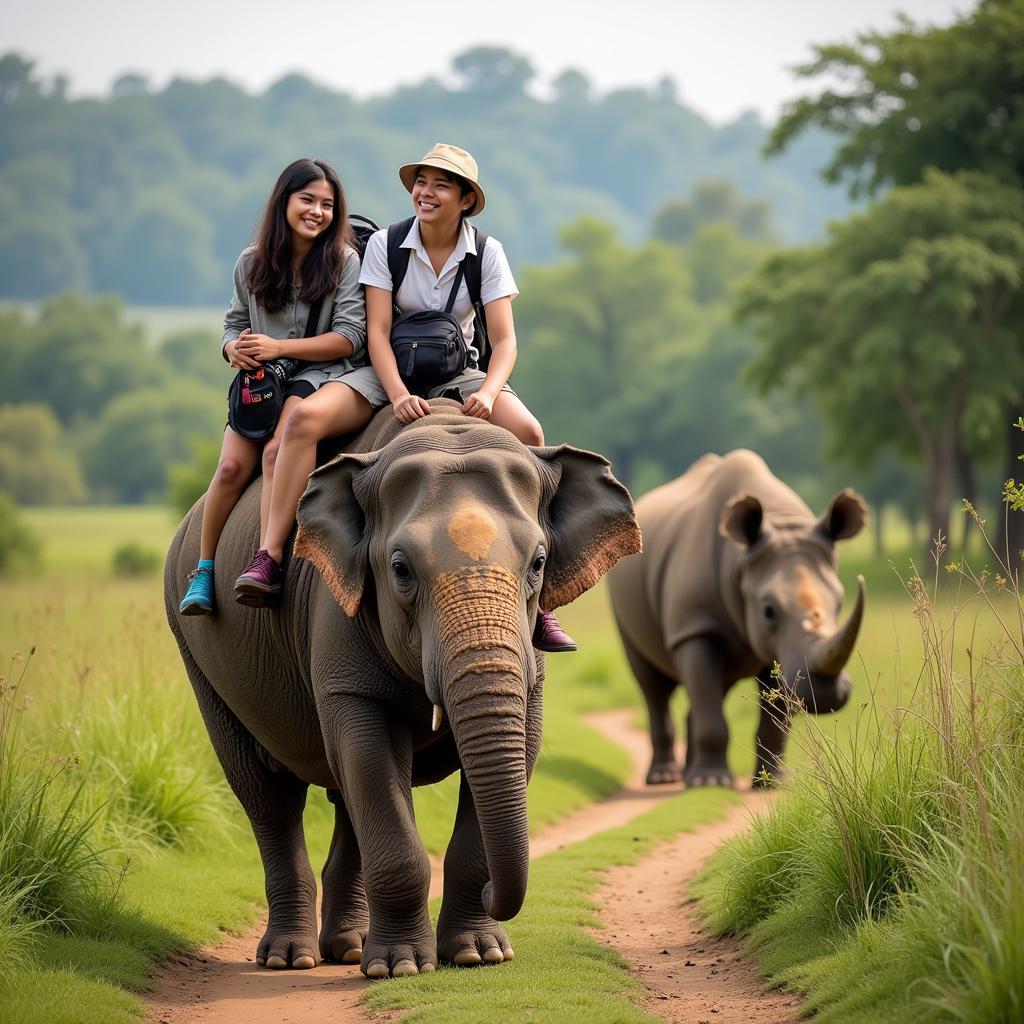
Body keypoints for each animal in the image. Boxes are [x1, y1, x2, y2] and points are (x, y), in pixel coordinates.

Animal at [160, 397, 638, 974]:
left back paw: (346, 947)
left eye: (539, 563)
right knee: (268, 795)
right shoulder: (335, 612)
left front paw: (479, 955)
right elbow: (368, 751)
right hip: (193, 647)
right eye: (400, 570)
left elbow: (518, 740)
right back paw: (289, 959)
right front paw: (401, 967)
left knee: (342, 794)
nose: (495, 900)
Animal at [606, 450, 864, 790]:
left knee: (711, 687)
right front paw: (712, 783)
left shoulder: (779, 649)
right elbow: (710, 706)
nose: (826, 695)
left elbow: (775, 712)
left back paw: (689, 775)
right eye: (768, 610)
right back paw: (666, 778)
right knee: (653, 685)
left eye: (840, 602)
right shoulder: (695, 628)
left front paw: (771, 785)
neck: (740, 560)